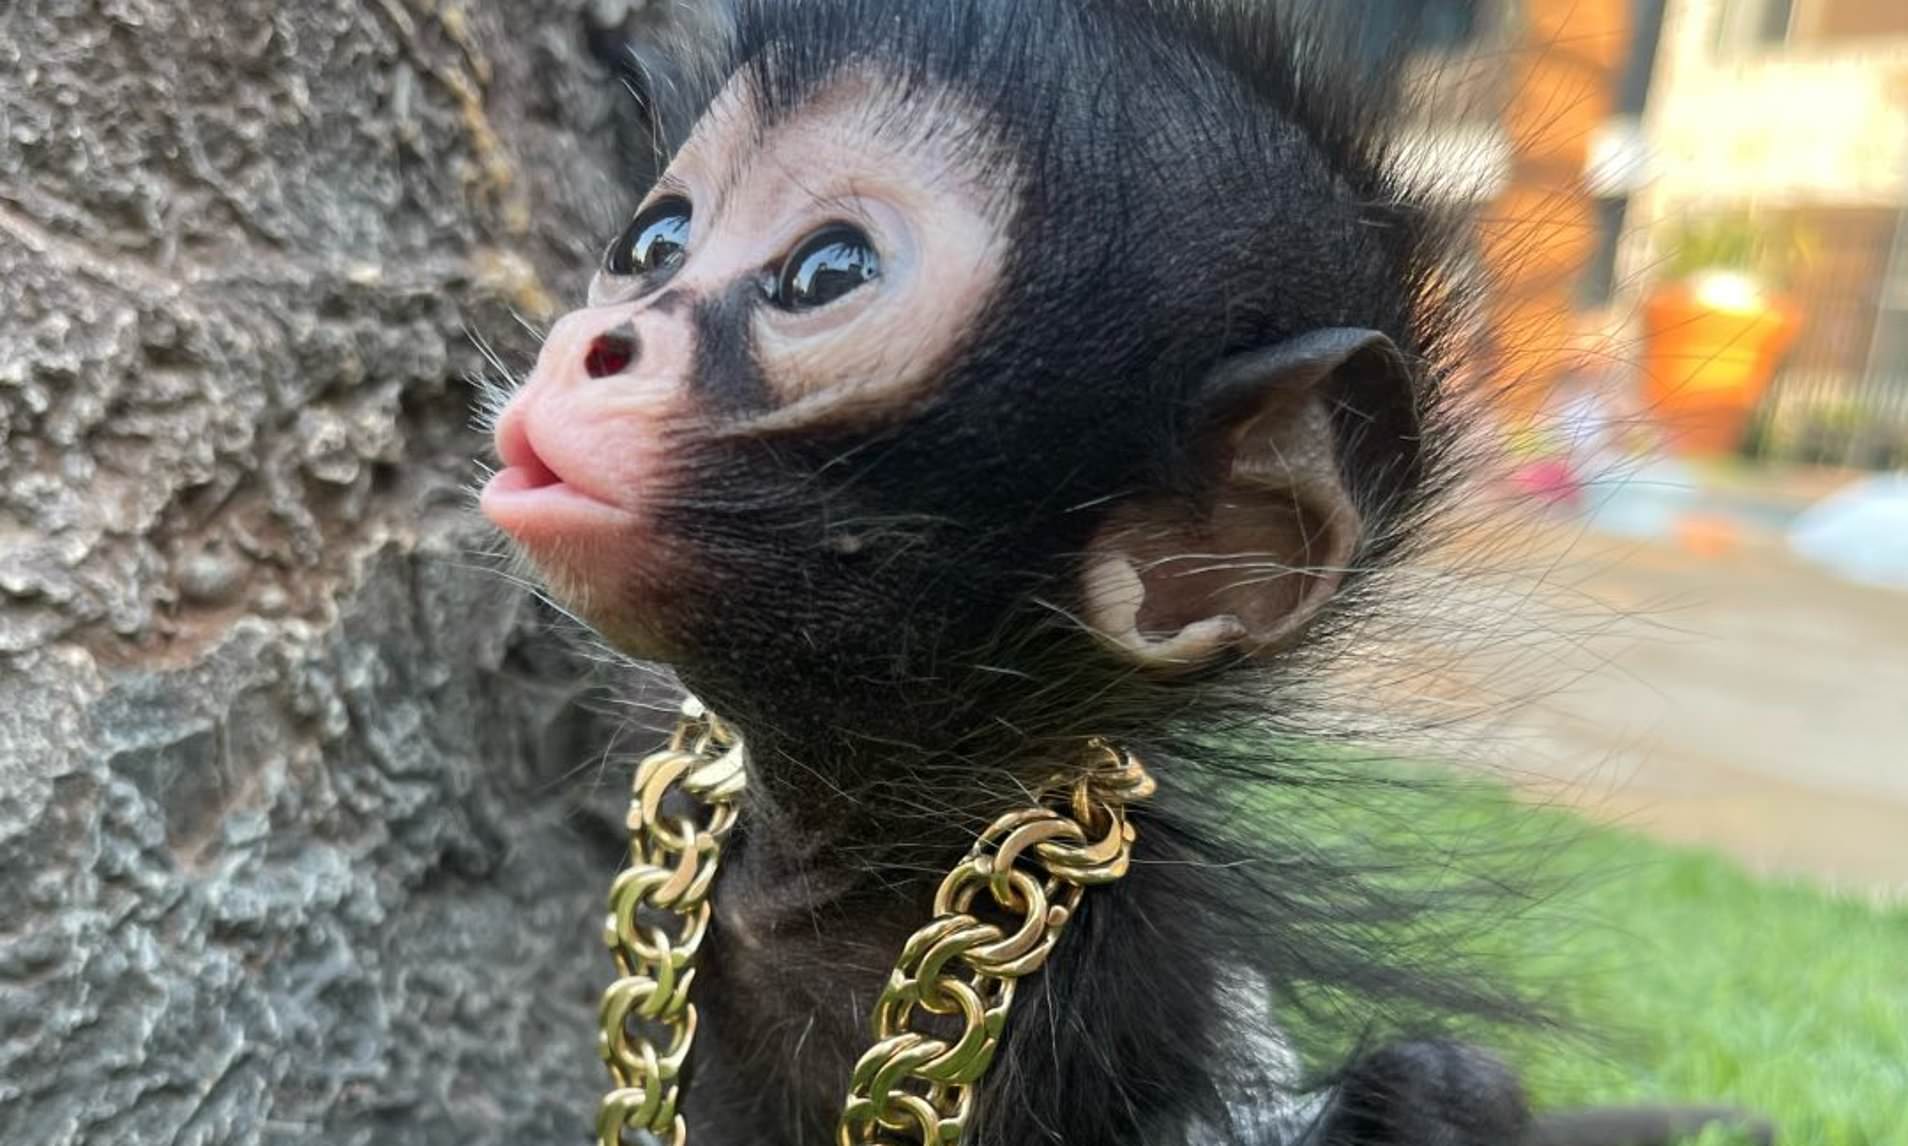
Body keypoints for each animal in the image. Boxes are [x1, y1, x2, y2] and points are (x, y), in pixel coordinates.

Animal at [478, 2, 1777, 1143]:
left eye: (825, 273)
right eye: (652, 246)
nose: (594, 346)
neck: (823, 874)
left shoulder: (1124, 972)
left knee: (1446, 1087)